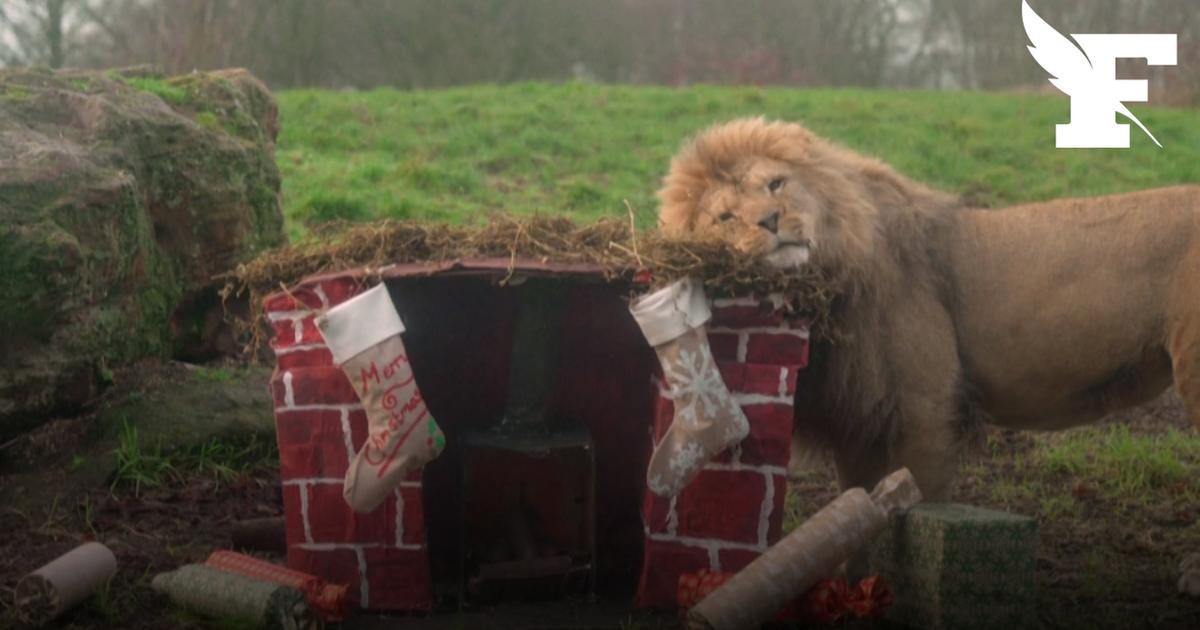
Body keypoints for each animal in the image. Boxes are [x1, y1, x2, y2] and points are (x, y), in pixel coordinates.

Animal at [658, 117, 1200, 544]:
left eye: (775, 185)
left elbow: (916, 504)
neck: (832, 281)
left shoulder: (925, 409)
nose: (770, 221)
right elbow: (856, 506)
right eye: (726, 217)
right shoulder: (858, 420)